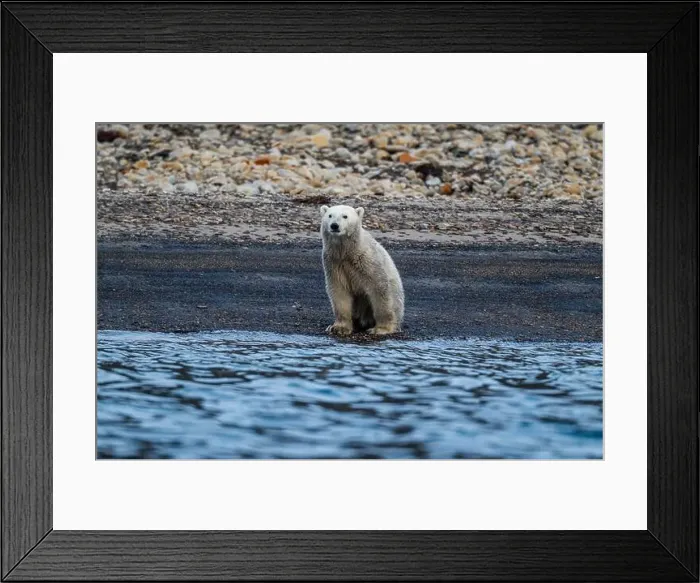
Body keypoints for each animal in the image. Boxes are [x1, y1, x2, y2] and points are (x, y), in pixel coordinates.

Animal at [320, 204, 404, 336]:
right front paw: (339, 328)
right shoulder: (334, 263)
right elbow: (339, 291)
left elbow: (379, 288)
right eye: (330, 215)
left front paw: (381, 329)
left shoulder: (367, 260)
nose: (334, 225)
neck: (347, 252)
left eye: (345, 216)